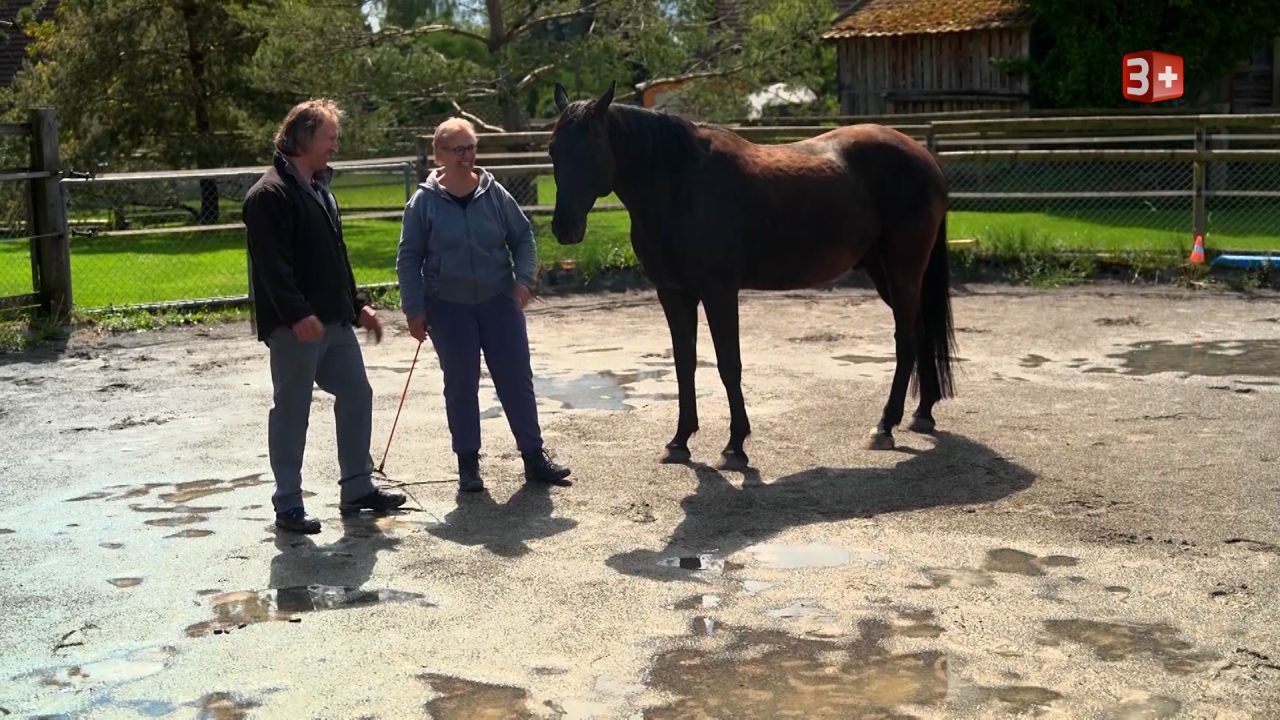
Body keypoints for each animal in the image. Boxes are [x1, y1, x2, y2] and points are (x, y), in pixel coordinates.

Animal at [547, 81, 956, 468]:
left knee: (906, 338)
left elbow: (729, 364)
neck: (681, 184)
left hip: (903, 268)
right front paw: (679, 442)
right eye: (553, 150)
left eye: (592, 147)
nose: (564, 228)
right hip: (884, 272)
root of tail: (924, 156)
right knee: (920, 332)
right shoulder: (674, 293)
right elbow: (684, 363)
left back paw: (885, 426)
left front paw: (735, 446)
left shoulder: (719, 291)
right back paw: (922, 413)